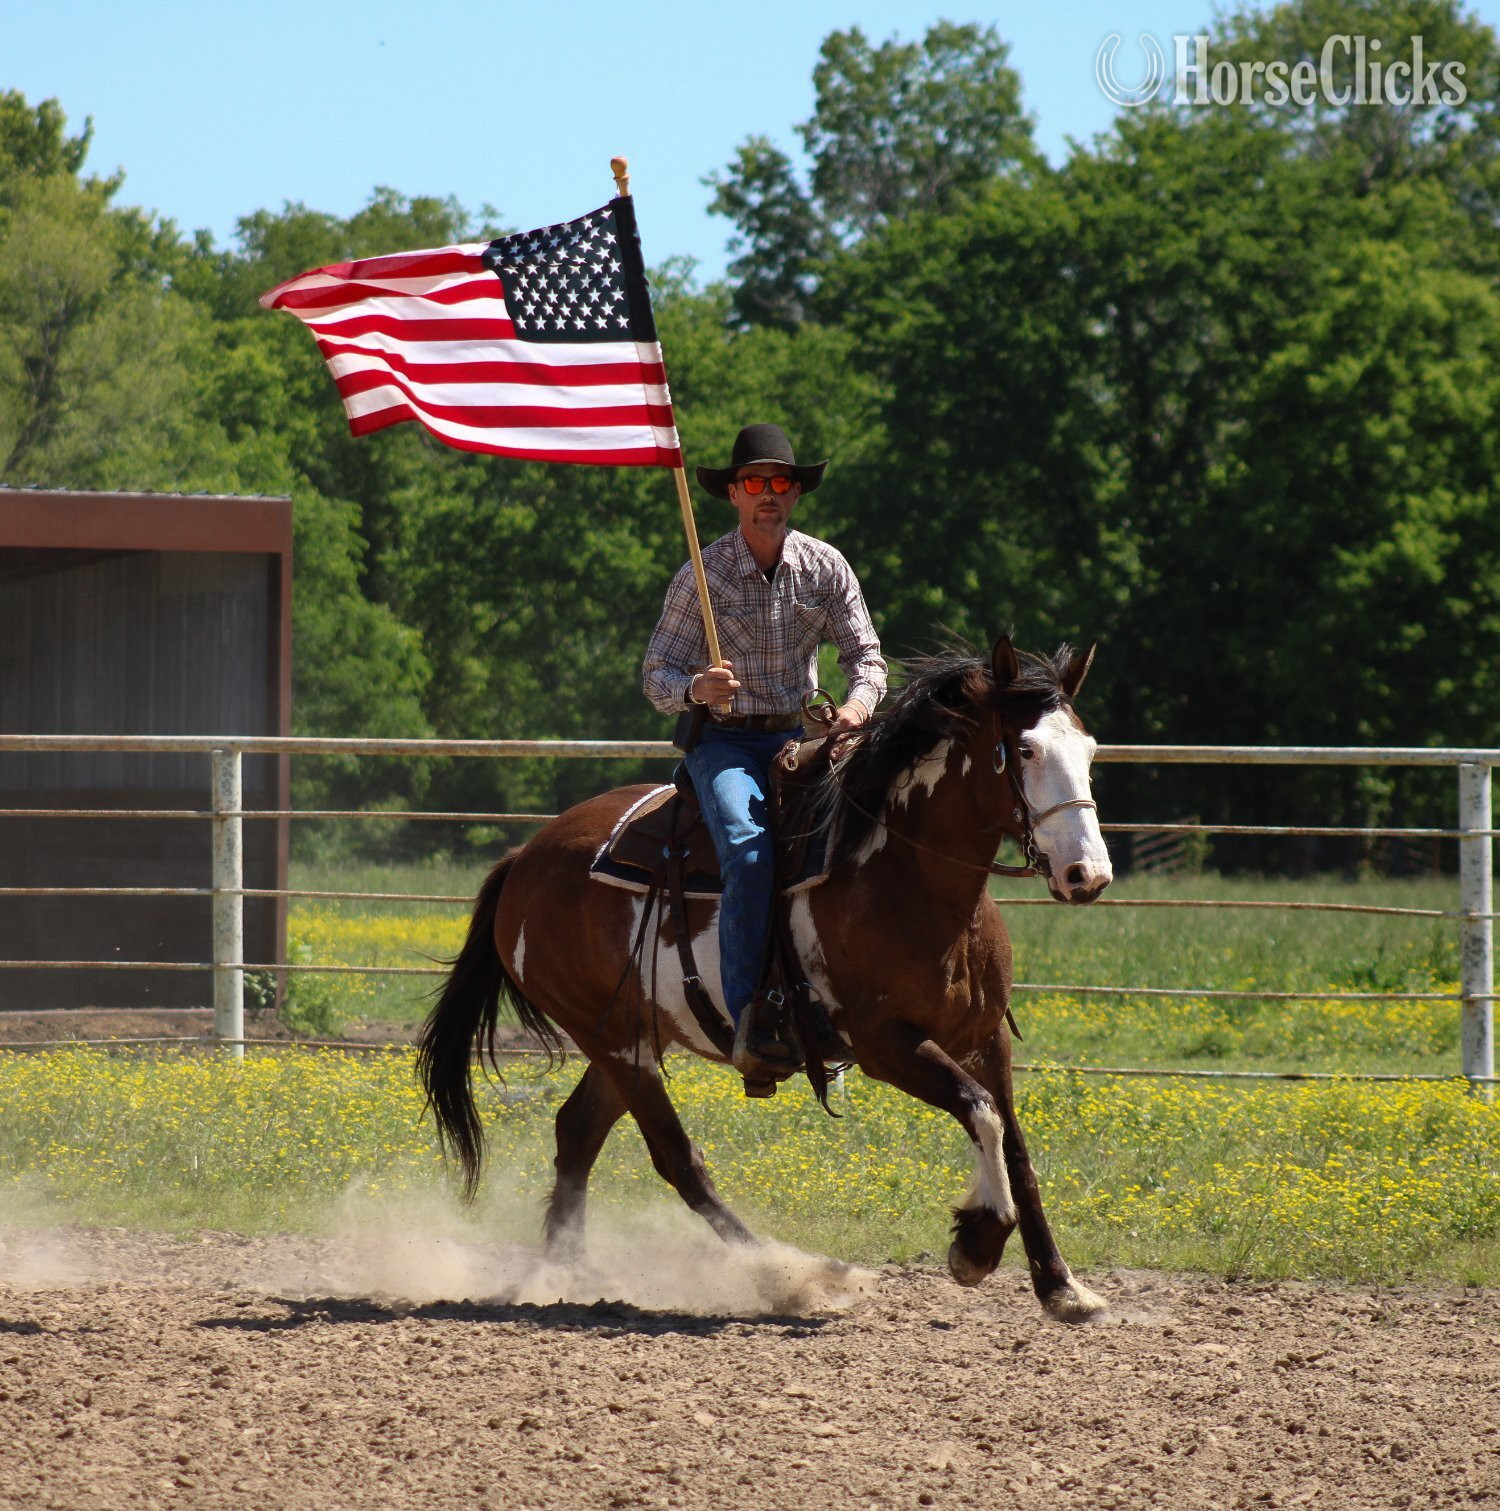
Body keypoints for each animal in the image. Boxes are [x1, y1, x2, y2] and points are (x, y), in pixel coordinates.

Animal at [418, 635, 1114, 1322]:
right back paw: (802, 1274)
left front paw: (1062, 1288)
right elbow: (980, 1112)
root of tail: (525, 858)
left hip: (629, 1034)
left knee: (578, 1131)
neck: (904, 876)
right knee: (676, 1158)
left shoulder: (984, 1037)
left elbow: (1014, 1145)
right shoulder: (886, 1044)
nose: (1088, 875)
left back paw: (566, 1273)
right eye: (1024, 749)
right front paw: (977, 1242)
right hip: (616, 1042)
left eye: (1089, 750)